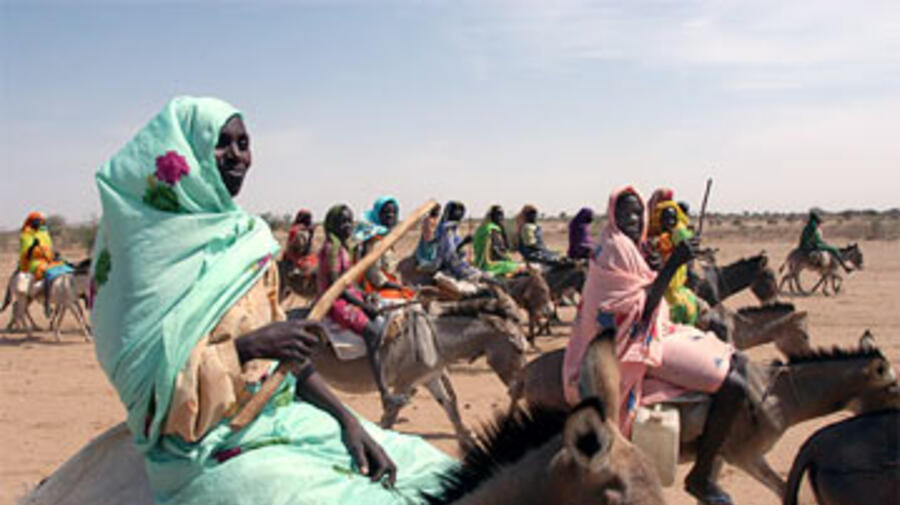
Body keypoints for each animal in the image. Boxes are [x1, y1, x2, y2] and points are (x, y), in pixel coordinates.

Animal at [510, 332, 892, 501]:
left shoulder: (722, 455)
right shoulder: (747, 455)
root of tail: (527, 372)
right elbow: (783, 489)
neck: (778, 394)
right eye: (893, 387)